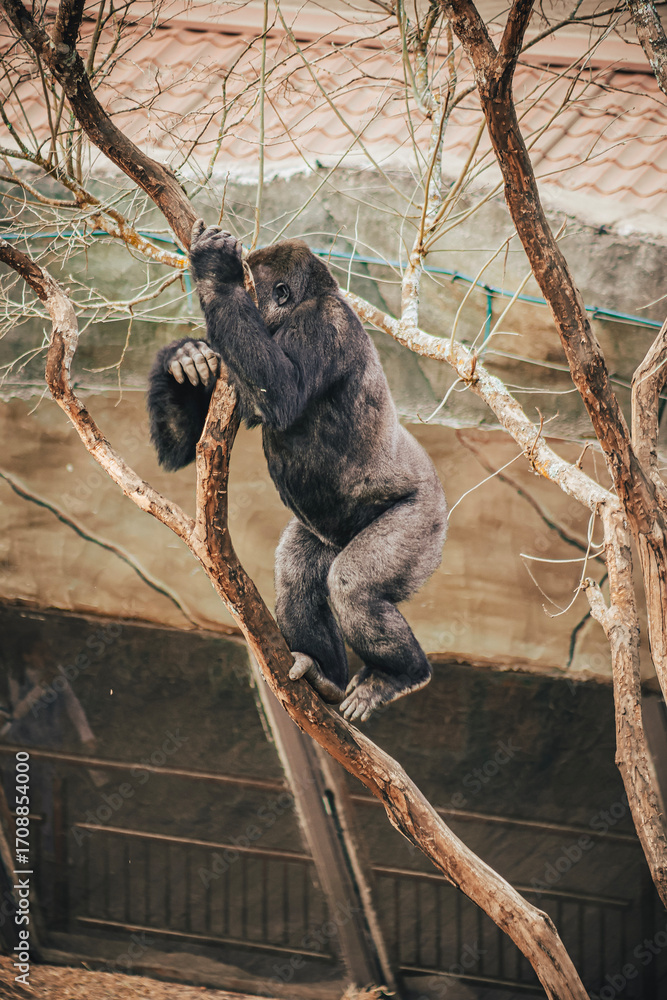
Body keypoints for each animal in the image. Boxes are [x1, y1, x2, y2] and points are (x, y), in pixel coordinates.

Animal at [147, 220, 448, 722]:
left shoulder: (318, 325)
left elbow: (282, 389)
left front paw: (217, 272)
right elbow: (185, 445)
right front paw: (184, 357)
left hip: (424, 522)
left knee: (354, 588)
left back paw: (398, 676)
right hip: (328, 536)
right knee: (297, 573)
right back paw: (326, 676)